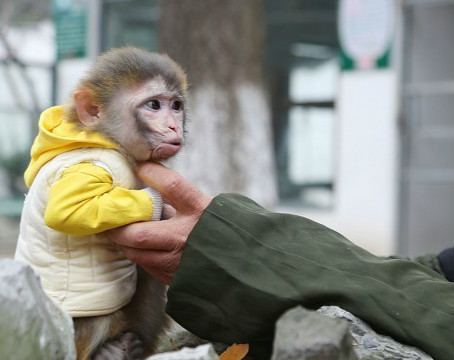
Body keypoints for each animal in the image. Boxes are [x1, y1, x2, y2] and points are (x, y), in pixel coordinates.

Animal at [14, 46, 188, 358]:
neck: (107, 139)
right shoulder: (92, 164)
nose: (173, 126)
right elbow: (67, 210)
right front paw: (155, 201)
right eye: (155, 105)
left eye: (176, 106)